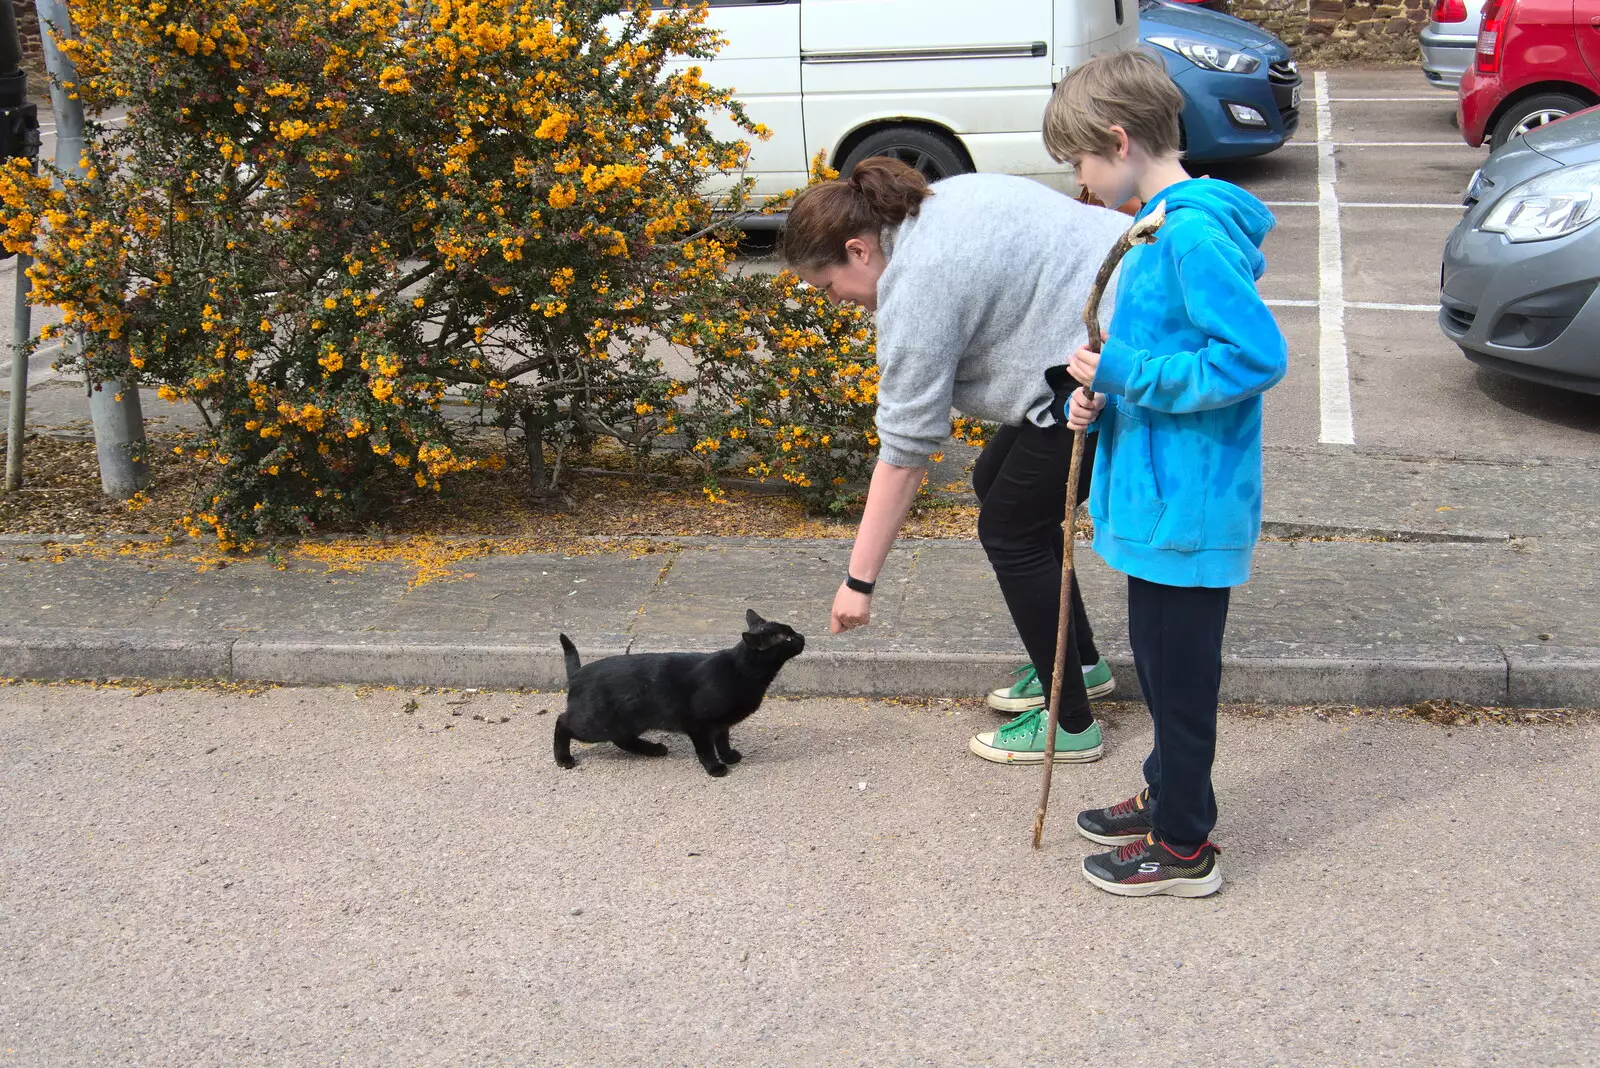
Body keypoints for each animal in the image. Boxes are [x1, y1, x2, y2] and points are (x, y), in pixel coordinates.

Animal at [553, 607, 806, 777]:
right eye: (788, 637)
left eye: (792, 631)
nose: (802, 636)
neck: (740, 670)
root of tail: (578, 673)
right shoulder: (699, 723)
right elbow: (706, 749)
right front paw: (715, 767)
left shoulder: (721, 724)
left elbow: (722, 741)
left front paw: (728, 756)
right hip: (597, 723)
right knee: (562, 722)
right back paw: (563, 758)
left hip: (628, 722)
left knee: (622, 739)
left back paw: (654, 749)